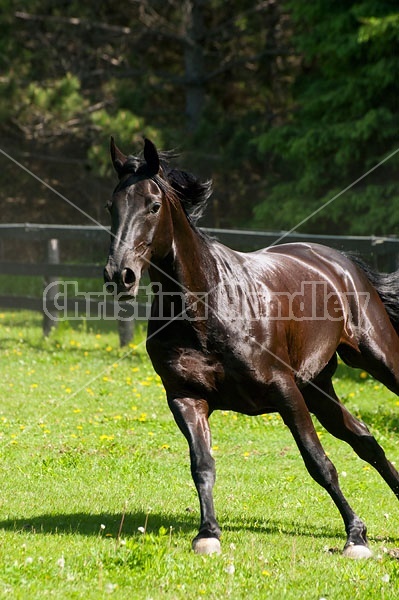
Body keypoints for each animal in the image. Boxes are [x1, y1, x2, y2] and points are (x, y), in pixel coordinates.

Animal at [104, 139, 399, 556]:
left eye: (154, 205)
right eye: (111, 207)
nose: (120, 275)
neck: (208, 310)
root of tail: (342, 263)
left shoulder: (285, 391)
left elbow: (318, 462)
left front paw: (355, 537)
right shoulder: (185, 398)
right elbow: (202, 465)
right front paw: (208, 534)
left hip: (377, 361)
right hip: (319, 389)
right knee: (365, 440)